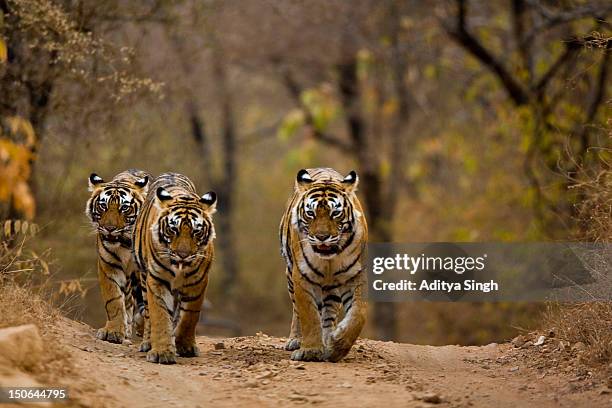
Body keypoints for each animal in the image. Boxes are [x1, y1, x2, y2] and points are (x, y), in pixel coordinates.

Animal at [85, 169, 150, 344]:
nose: (109, 228)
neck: (125, 242)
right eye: (103, 206)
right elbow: (114, 300)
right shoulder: (109, 267)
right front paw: (113, 332)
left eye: (124, 208)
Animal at [134, 171, 218, 364]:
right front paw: (162, 352)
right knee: (148, 313)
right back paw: (147, 342)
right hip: (143, 278)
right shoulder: (156, 279)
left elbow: (190, 316)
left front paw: (185, 346)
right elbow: (159, 315)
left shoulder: (198, 282)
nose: (183, 254)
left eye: (196, 231)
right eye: (173, 229)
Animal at [278, 167, 368, 362]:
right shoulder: (301, 276)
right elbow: (309, 315)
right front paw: (310, 351)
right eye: (311, 213)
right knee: (297, 310)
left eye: (335, 213)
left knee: (328, 314)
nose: (322, 237)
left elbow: (358, 314)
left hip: (331, 287)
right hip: (290, 275)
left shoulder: (356, 275)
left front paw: (337, 346)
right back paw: (296, 340)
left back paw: (328, 340)